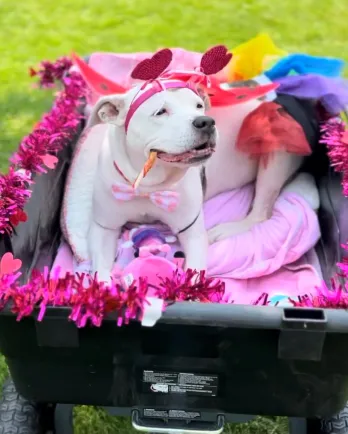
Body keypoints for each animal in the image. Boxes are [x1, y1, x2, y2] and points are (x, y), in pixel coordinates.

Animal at [83, 85, 216, 284]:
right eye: (160, 112)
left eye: (198, 106)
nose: (206, 121)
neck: (149, 186)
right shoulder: (104, 228)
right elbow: (101, 269)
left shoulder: (192, 231)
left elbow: (195, 273)